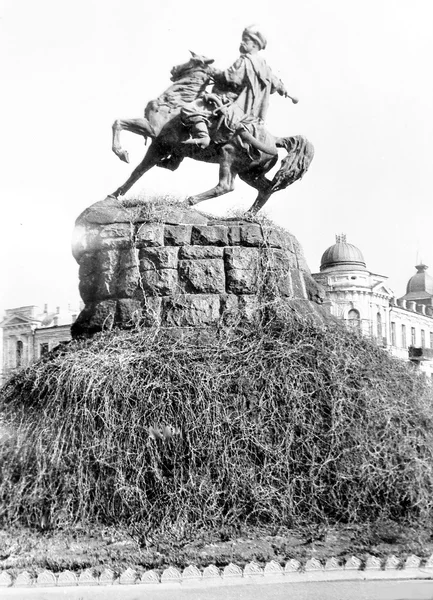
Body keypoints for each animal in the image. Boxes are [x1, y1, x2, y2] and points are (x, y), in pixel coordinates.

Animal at [109, 52, 312, 214]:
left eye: (192, 59)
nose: (174, 68)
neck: (176, 100)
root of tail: (274, 141)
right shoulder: (160, 146)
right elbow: (139, 170)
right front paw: (114, 194)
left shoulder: (154, 133)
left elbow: (119, 125)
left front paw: (121, 154)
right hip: (249, 173)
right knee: (267, 189)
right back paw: (248, 215)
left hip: (228, 156)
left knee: (226, 186)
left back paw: (190, 200)